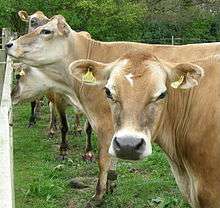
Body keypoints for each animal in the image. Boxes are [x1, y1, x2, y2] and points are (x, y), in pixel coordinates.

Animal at [6, 15, 220, 205]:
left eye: (46, 31)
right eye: (32, 23)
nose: (9, 45)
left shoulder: (105, 125)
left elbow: (102, 160)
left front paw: (98, 194)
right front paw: (112, 182)